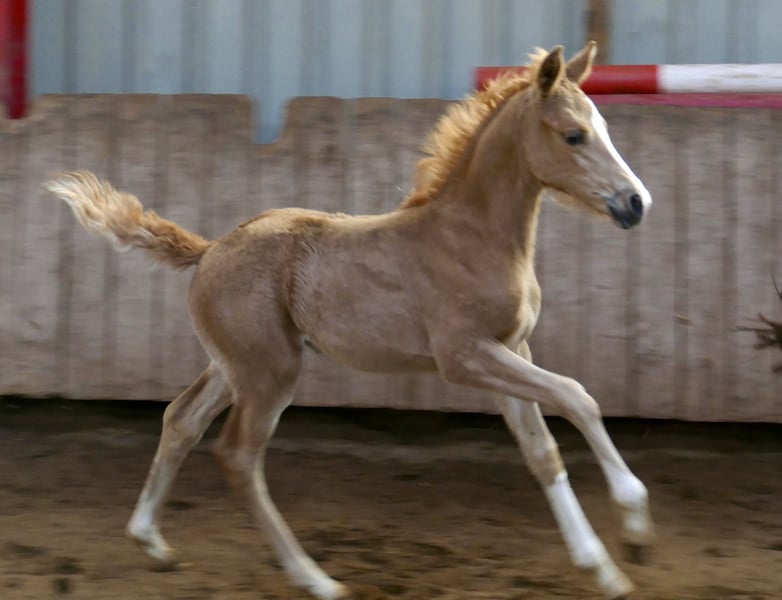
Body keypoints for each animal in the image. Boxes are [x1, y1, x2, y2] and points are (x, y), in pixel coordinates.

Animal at [46, 42, 654, 599]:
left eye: (603, 126)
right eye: (574, 135)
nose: (636, 203)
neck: (471, 237)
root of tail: (210, 248)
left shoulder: (511, 350)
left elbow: (542, 453)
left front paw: (603, 568)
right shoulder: (465, 357)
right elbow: (577, 396)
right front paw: (635, 524)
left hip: (232, 366)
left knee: (180, 421)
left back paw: (151, 541)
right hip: (270, 373)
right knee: (238, 455)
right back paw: (315, 579)